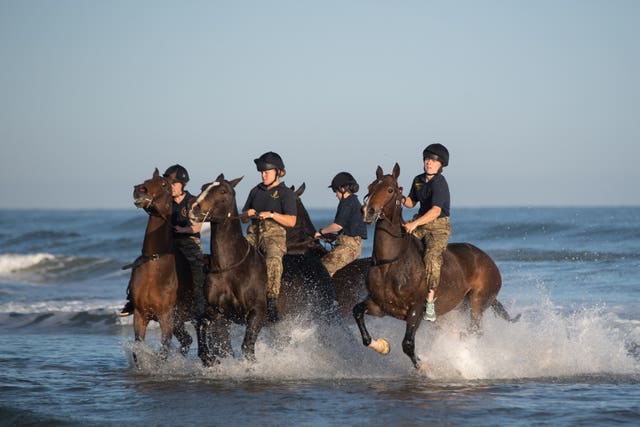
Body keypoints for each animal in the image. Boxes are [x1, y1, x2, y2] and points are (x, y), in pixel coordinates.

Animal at [356, 164, 520, 372]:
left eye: (390, 190)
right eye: (370, 187)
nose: (367, 212)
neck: (390, 264)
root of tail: (489, 261)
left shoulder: (416, 309)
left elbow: (407, 344)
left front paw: (426, 367)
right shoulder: (379, 306)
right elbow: (358, 314)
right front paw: (382, 346)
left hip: (477, 302)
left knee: (475, 330)